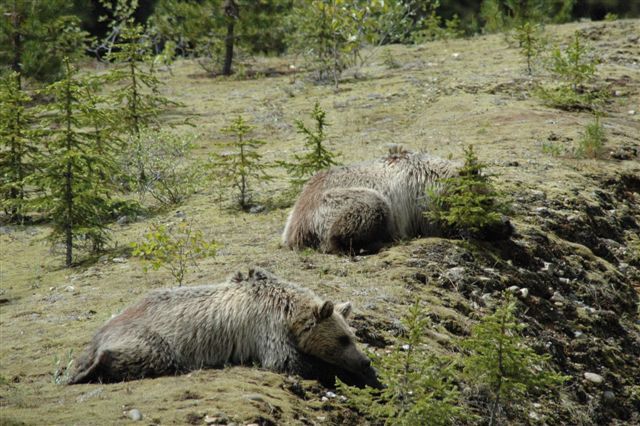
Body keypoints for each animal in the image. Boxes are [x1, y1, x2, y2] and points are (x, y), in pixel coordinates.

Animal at [69, 268, 380, 388]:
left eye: (351, 336)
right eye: (342, 339)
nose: (364, 361)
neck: (288, 312)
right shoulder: (266, 327)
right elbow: (287, 361)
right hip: (150, 338)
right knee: (147, 356)